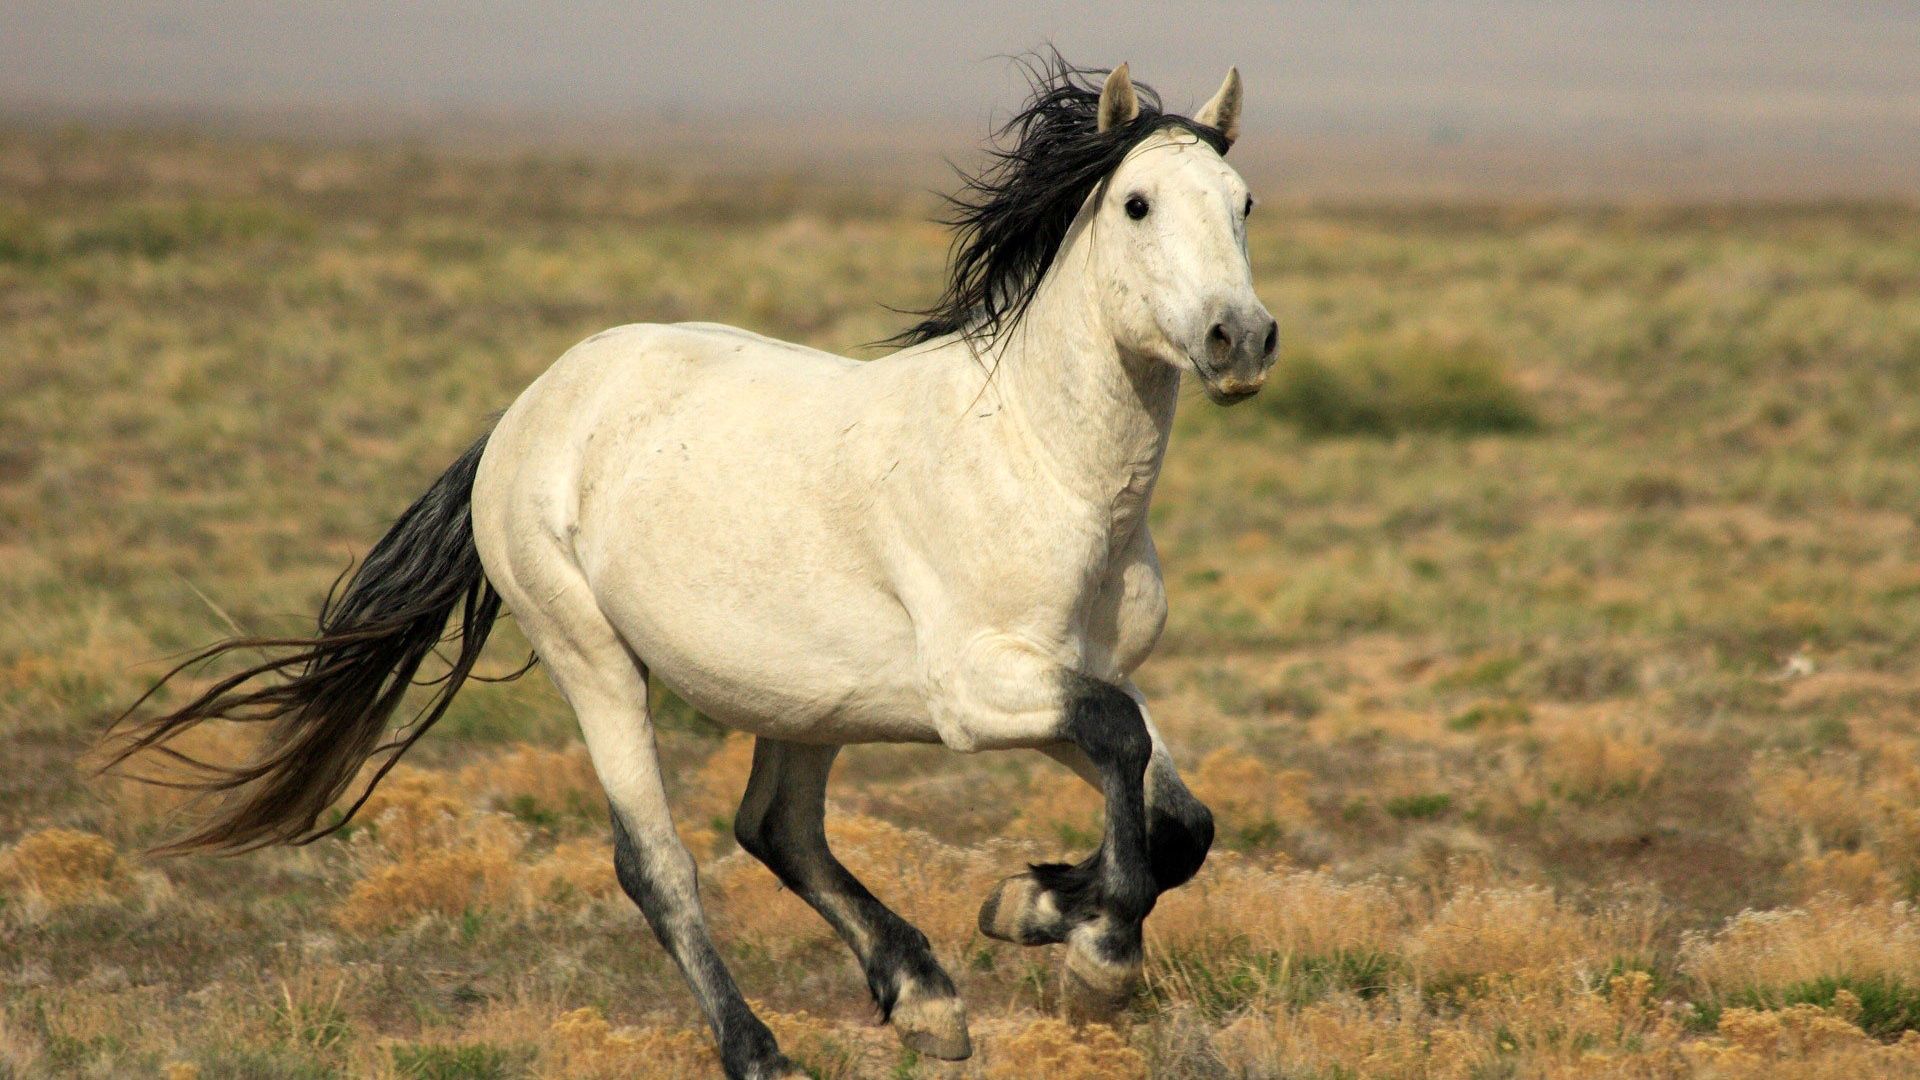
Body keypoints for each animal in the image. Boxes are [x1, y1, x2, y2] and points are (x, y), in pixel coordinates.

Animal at [108, 58, 1274, 1076]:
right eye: (1136, 204)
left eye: (1245, 202)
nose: (1240, 339)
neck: (1039, 462)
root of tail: (527, 411)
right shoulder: (978, 693)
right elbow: (1125, 749)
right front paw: (1095, 959)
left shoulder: (1076, 677)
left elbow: (1177, 817)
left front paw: (1027, 904)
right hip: (593, 660)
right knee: (658, 864)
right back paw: (761, 1051)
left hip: (812, 700)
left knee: (777, 828)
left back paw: (926, 1000)